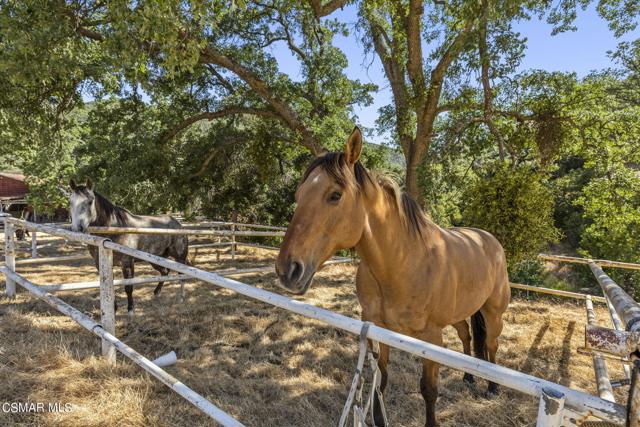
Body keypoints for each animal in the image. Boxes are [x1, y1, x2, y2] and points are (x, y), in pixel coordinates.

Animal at [71, 179, 190, 320]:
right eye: (70, 202)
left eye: (90, 201)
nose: (77, 228)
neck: (115, 228)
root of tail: (178, 224)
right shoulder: (100, 264)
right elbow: (110, 286)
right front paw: (114, 309)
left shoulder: (127, 262)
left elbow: (128, 287)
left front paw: (130, 310)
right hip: (156, 259)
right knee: (165, 272)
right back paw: (157, 292)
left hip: (179, 257)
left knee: (181, 275)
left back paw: (181, 297)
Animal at [276, 128, 510, 427]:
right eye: (299, 194)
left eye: (335, 195)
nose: (287, 269)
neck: (403, 263)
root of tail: (488, 239)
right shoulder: (378, 328)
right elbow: (382, 379)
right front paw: (377, 417)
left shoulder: (431, 339)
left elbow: (428, 389)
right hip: (460, 314)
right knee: (467, 337)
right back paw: (469, 376)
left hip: (493, 313)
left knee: (491, 345)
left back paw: (492, 387)